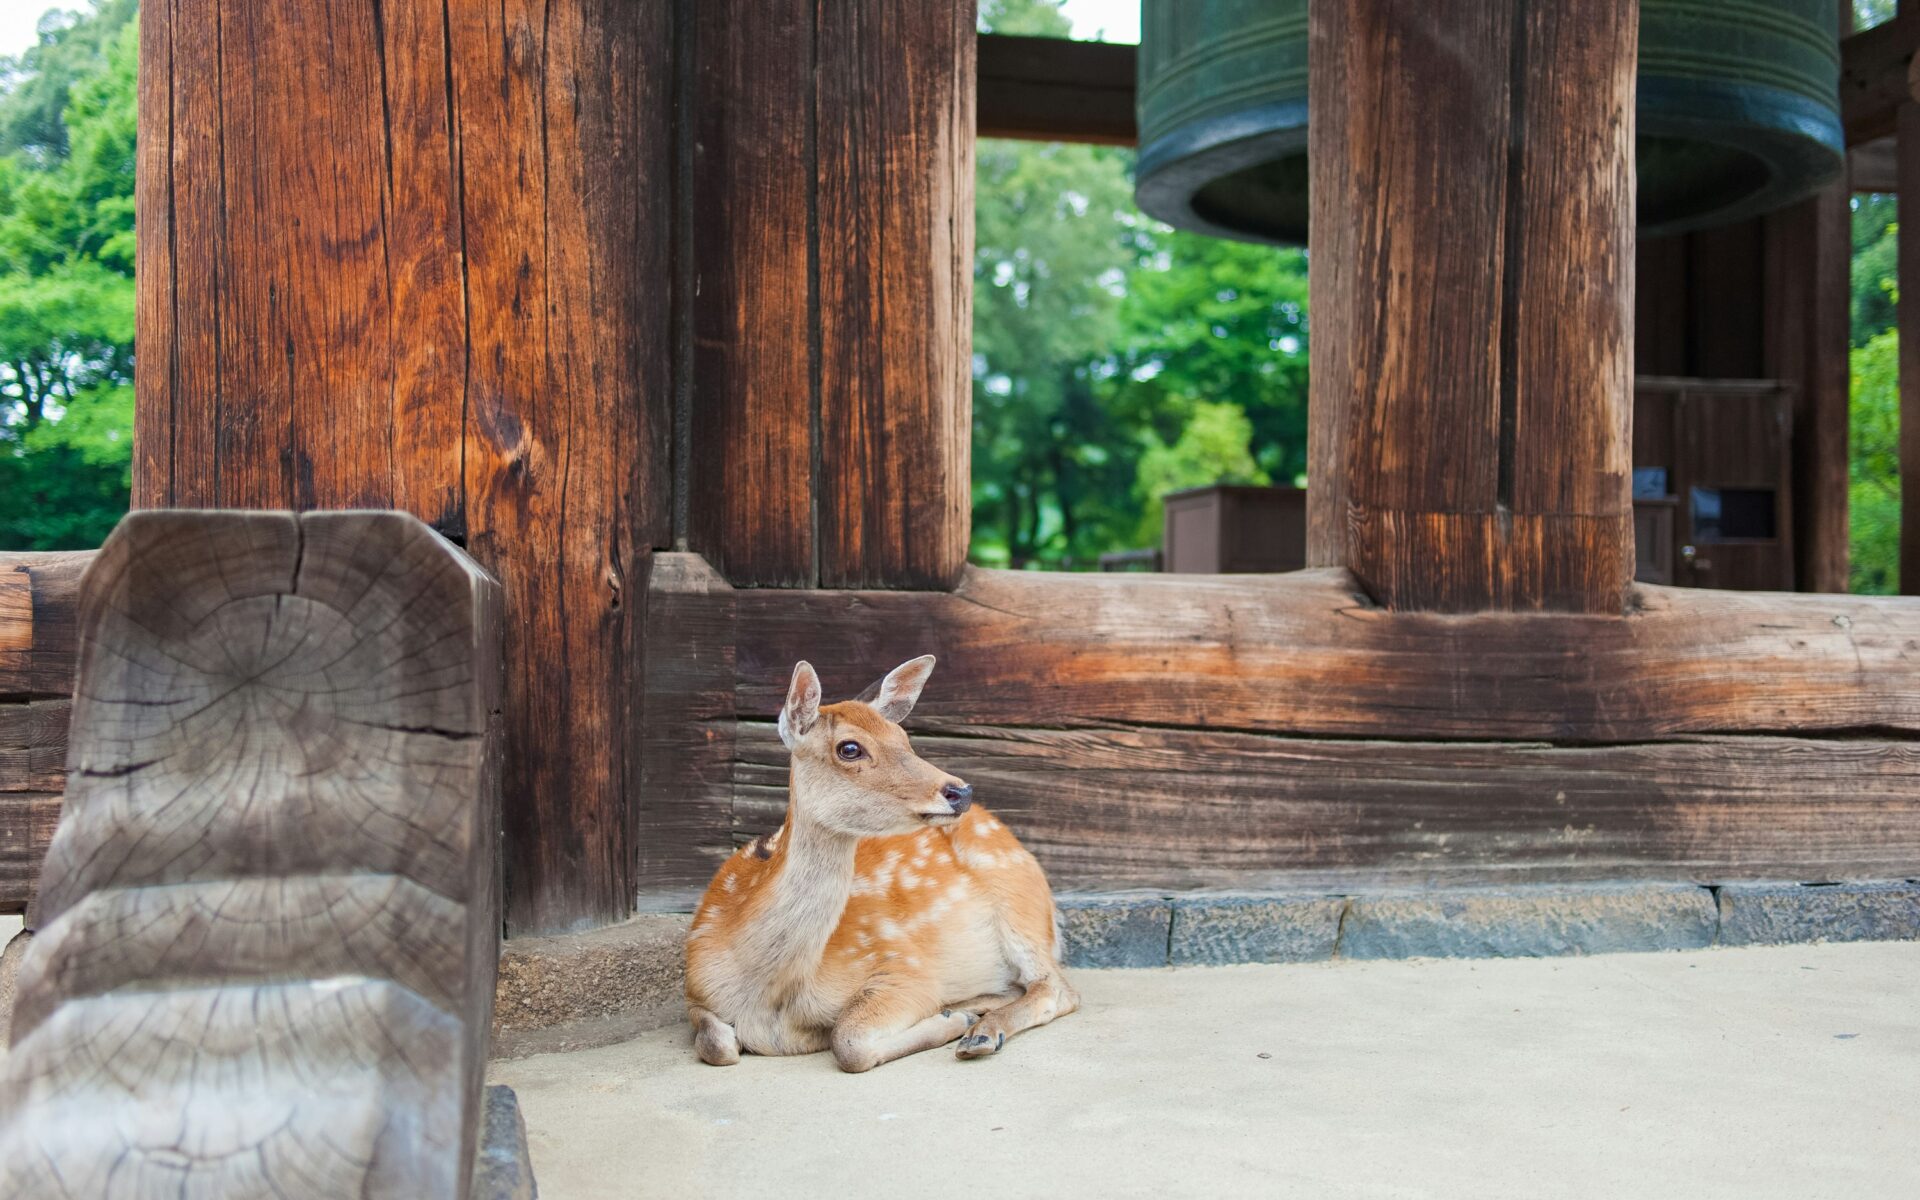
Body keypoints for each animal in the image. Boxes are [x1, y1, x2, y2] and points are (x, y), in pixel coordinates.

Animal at [687, 660, 1082, 1075]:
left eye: (903, 737)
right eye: (849, 748)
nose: (961, 791)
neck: (770, 995)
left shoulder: (903, 966)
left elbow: (848, 1040)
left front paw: (950, 1021)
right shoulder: (695, 989)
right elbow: (715, 1044)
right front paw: (953, 1016)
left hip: (1018, 901)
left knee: (1056, 988)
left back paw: (980, 1032)